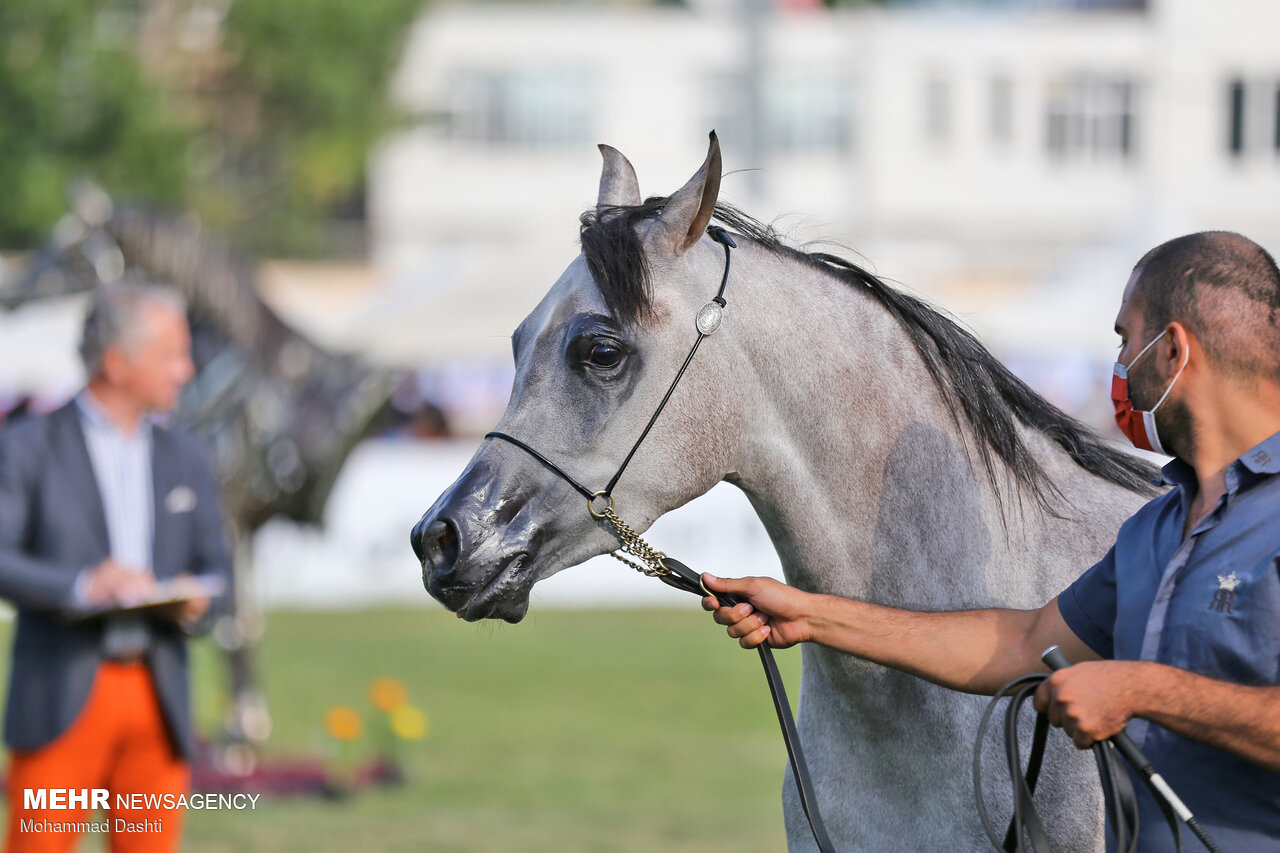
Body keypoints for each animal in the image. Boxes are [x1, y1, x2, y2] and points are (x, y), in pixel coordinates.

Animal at [0, 183, 394, 747]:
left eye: (69, 247)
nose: (10, 292)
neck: (237, 379)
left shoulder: (226, 516)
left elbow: (233, 626)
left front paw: (242, 734)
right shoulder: (243, 527)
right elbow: (246, 620)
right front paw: (247, 727)